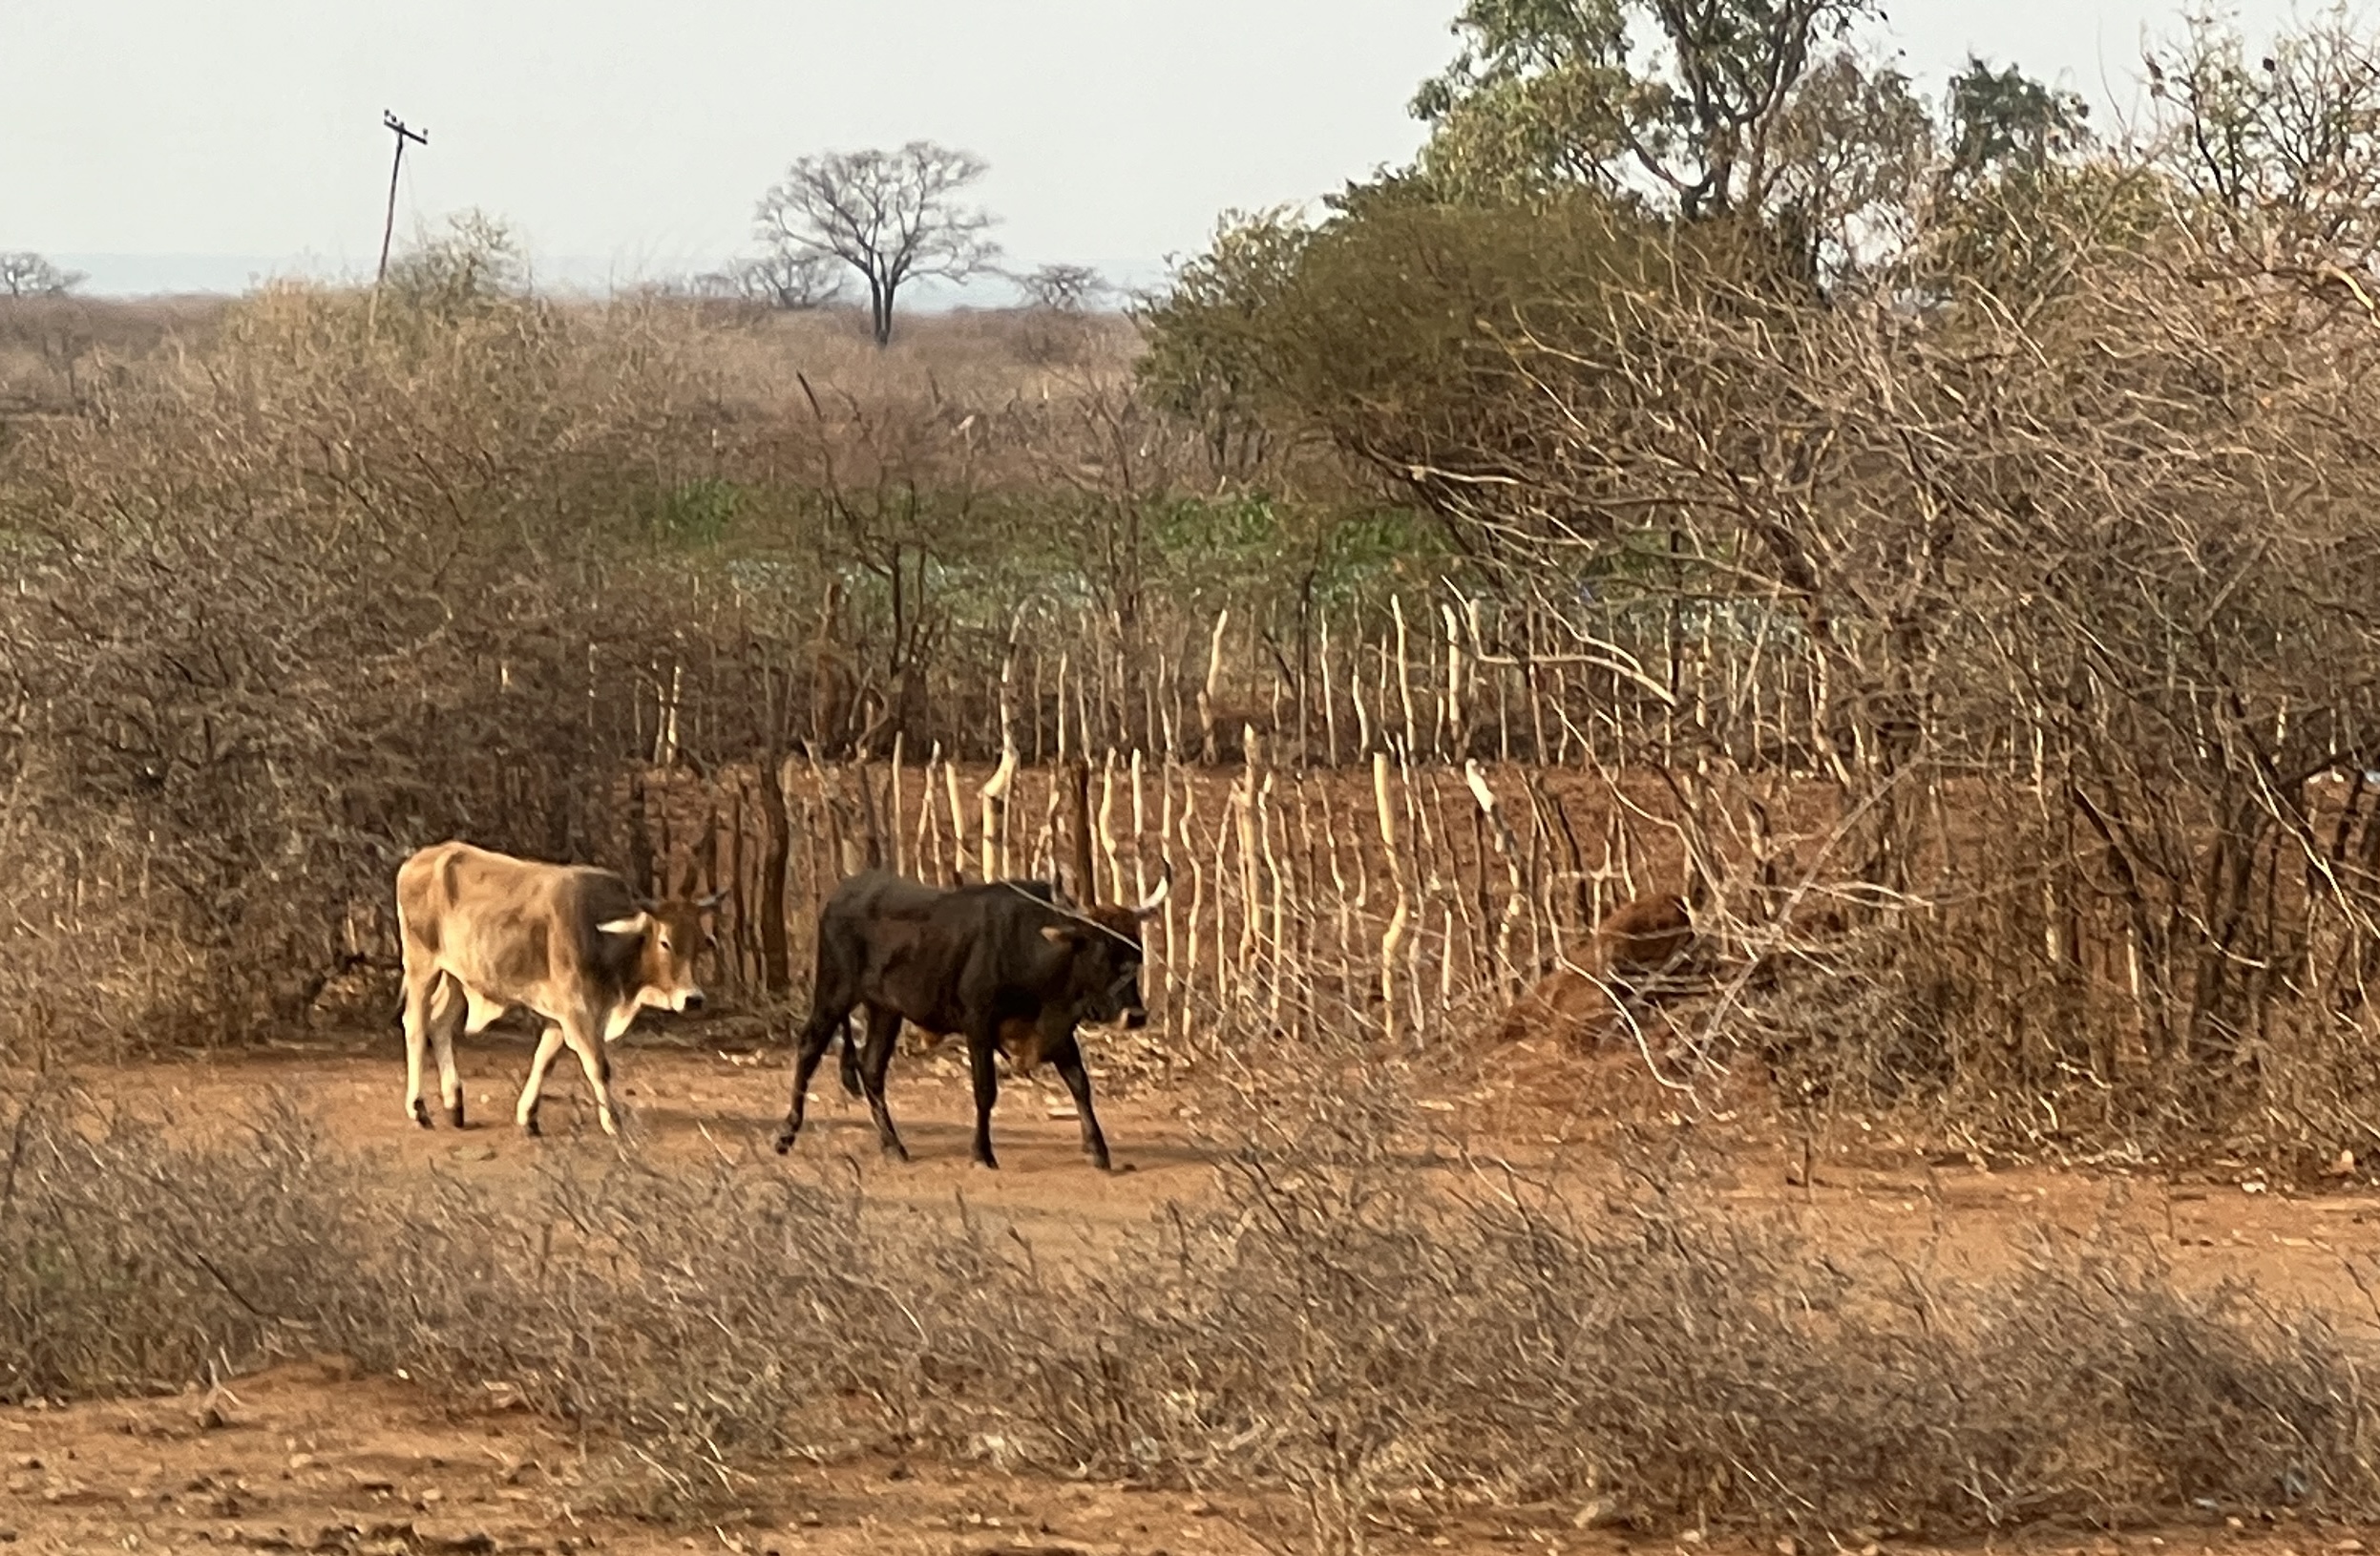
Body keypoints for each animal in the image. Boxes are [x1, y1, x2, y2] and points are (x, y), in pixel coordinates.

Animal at [394, 841, 723, 1137]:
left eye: (699, 944)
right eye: (665, 941)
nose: (693, 999)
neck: (603, 937)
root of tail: (418, 860)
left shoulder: (561, 1014)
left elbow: (544, 1059)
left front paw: (528, 1117)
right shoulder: (577, 1010)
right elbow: (598, 1065)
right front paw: (613, 1123)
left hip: (458, 976)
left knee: (439, 1023)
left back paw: (454, 1103)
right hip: (422, 965)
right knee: (415, 1024)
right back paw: (418, 1109)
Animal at [772, 869, 1169, 1171]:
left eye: (1136, 952)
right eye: (1101, 951)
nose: (1135, 1015)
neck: (1030, 949)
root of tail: (840, 893)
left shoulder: (1057, 1033)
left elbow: (1080, 1085)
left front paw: (1099, 1150)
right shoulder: (979, 1025)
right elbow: (985, 1090)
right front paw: (982, 1153)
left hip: (885, 1010)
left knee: (871, 1070)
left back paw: (893, 1145)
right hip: (834, 993)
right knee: (809, 1048)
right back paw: (786, 1134)